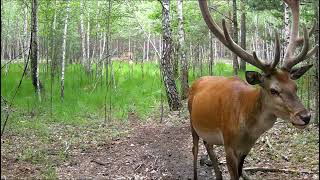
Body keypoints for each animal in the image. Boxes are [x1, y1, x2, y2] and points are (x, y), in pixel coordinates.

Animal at [189, 0, 318, 179]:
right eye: (273, 90)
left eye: (295, 86)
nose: (305, 116)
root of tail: (197, 81)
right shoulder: (229, 144)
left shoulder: (246, 148)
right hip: (192, 121)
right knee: (194, 149)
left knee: (208, 145)